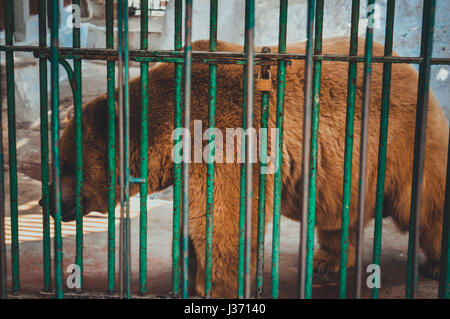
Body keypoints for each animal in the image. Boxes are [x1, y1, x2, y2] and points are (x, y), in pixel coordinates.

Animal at [51, 38, 448, 300]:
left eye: (67, 164)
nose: (48, 203)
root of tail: (408, 65)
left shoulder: (225, 139)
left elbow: (225, 222)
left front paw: (212, 286)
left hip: (404, 138)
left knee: (427, 204)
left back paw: (435, 264)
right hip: (346, 170)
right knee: (338, 216)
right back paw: (328, 259)